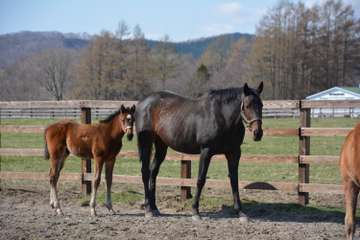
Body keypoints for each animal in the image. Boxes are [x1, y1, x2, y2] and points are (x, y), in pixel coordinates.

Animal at [136, 83, 262, 221]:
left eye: (261, 105)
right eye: (247, 105)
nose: (257, 133)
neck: (221, 116)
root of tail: (142, 102)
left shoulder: (234, 153)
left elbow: (234, 180)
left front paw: (240, 212)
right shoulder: (206, 151)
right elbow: (201, 180)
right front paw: (195, 211)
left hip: (161, 145)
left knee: (153, 172)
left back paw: (154, 208)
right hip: (146, 143)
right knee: (145, 172)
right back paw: (148, 209)